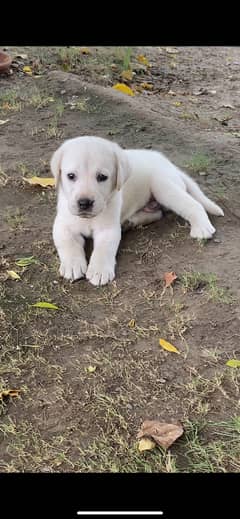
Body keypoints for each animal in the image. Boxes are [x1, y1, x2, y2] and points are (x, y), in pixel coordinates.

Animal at [50, 136, 223, 286]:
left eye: (102, 177)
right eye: (71, 176)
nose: (84, 203)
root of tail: (170, 165)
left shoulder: (108, 230)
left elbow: (104, 248)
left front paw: (99, 270)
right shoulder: (62, 225)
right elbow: (67, 243)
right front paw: (73, 265)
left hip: (163, 187)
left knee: (193, 205)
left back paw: (202, 228)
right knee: (157, 213)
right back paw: (130, 222)